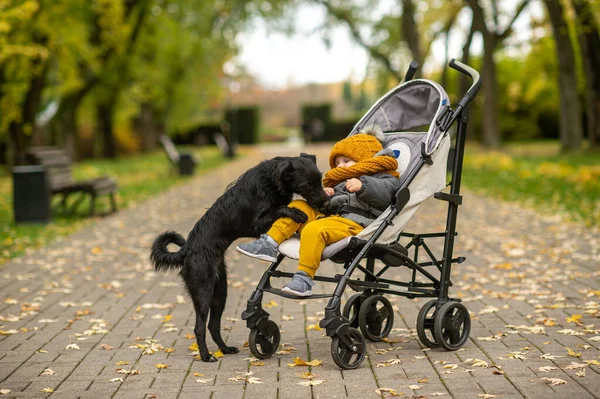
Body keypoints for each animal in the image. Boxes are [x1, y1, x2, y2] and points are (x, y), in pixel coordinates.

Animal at [150, 153, 328, 362]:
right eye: (307, 184)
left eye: (320, 180)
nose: (326, 202)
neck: (271, 180)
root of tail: (186, 249)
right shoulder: (256, 224)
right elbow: (280, 209)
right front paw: (296, 212)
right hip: (203, 290)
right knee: (199, 327)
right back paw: (206, 355)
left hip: (220, 291)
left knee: (213, 325)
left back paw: (225, 349)